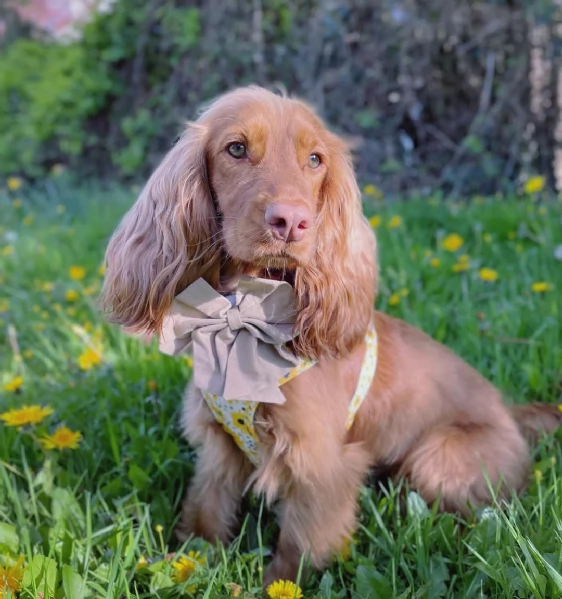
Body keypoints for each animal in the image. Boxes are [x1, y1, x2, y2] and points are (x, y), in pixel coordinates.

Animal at [101, 84, 560, 584]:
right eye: (236, 149)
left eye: (315, 159)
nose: (291, 222)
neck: (246, 316)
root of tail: (511, 414)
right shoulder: (218, 444)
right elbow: (206, 509)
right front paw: (185, 562)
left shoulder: (320, 462)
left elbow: (299, 547)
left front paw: (274, 585)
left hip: (439, 454)